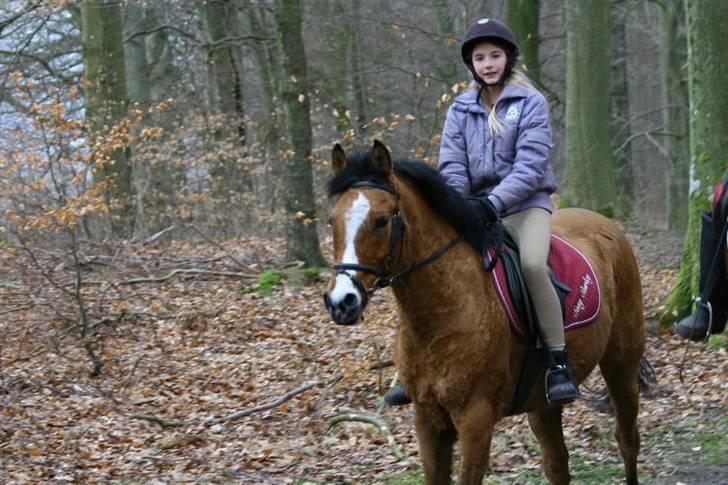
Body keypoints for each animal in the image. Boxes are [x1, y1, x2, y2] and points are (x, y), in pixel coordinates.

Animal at [322, 140, 644, 484]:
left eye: (382, 220)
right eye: (332, 220)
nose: (342, 302)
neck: (439, 316)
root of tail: (606, 224)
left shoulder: (475, 418)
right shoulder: (427, 418)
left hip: (621, 366)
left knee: (627, 439)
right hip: (543, 403)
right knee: (557, 463)